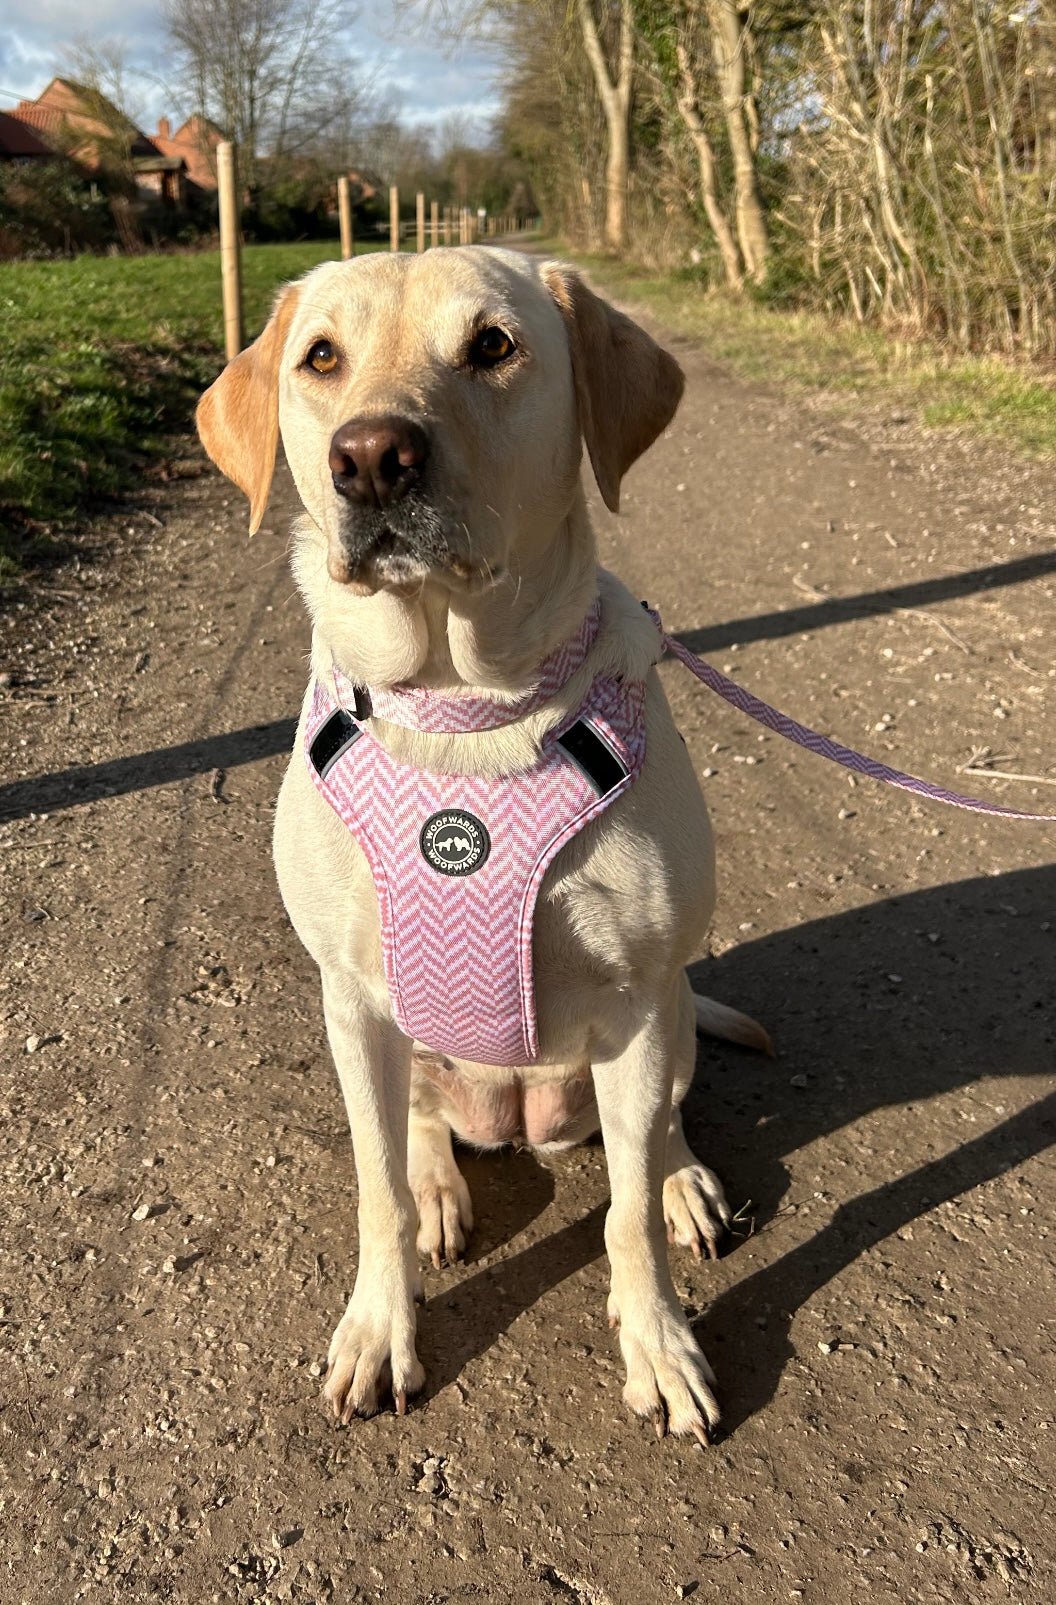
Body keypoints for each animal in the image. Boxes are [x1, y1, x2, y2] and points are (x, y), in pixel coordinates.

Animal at [194, 247, 763, 1444]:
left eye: (493, 345)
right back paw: (443, 1191)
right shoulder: (353, 998)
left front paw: (658, 1340)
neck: (463, 711)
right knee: (418, 1134)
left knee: (662, 1129)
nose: (371, 458)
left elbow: (625, 1215)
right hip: (398, 1042)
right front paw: (381, 1327)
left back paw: (685, 1182)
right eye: (321, 357)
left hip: (674, 1010)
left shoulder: (639, 995)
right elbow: (374, 1190)